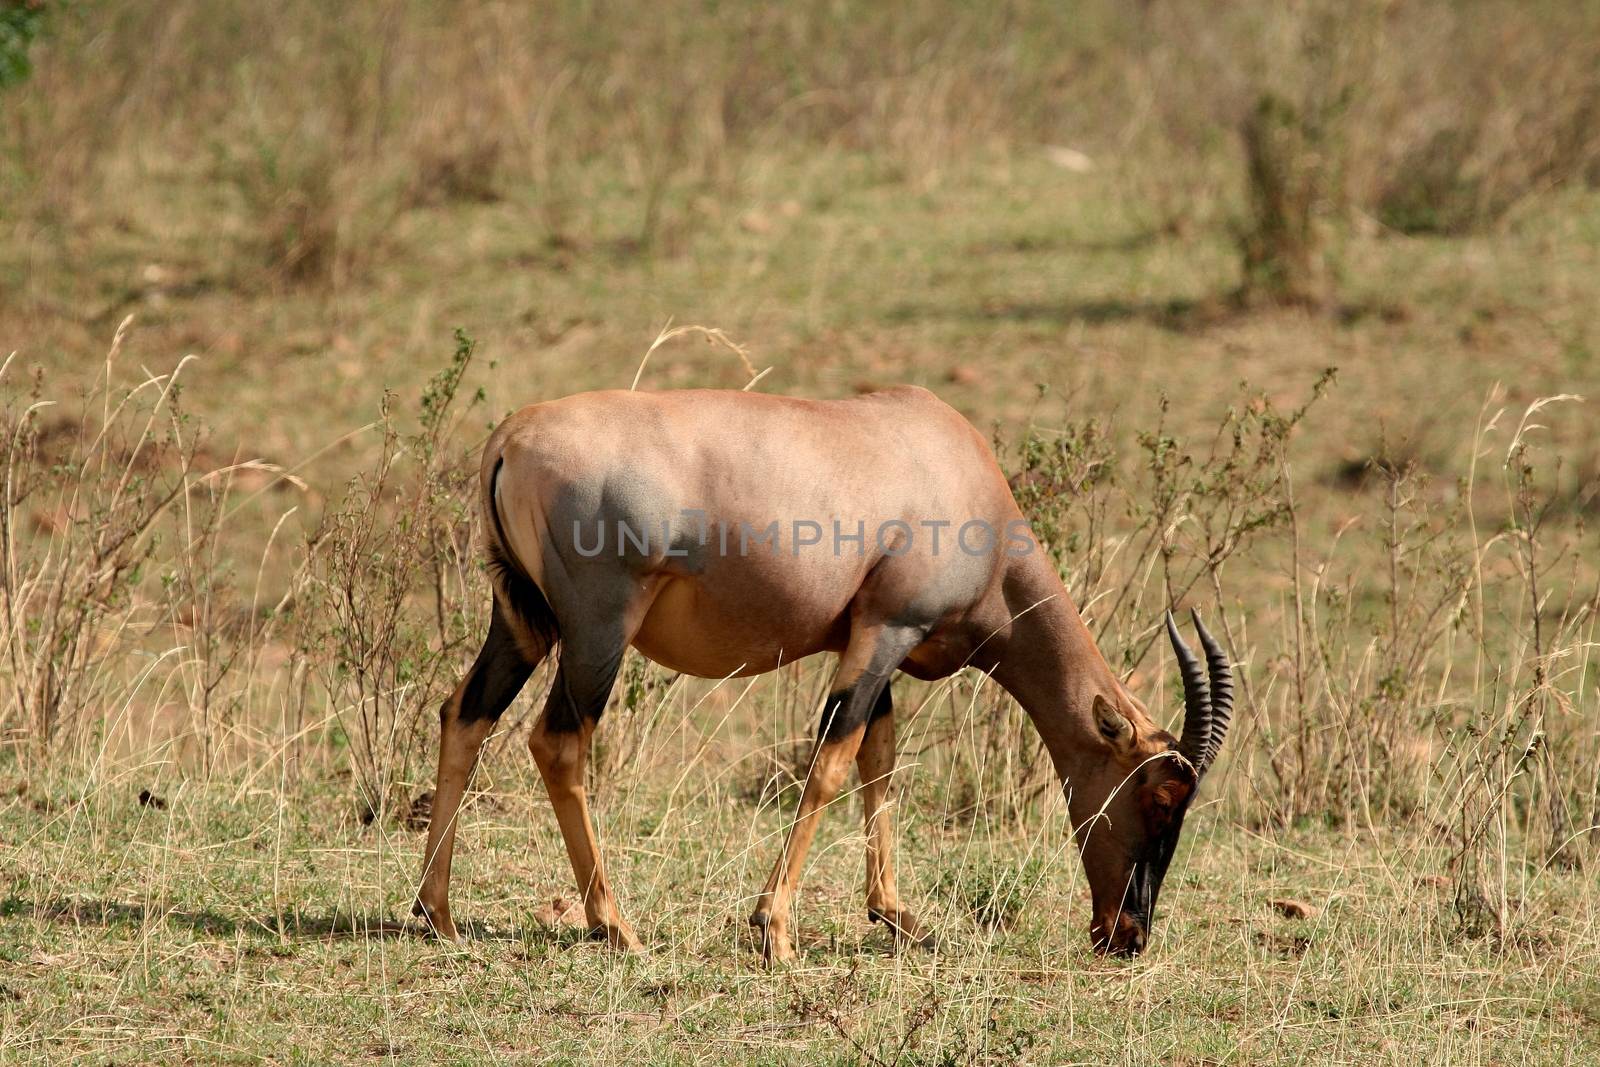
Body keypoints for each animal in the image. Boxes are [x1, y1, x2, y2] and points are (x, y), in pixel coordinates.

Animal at [416, 388, 1235, 966]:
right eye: (1161, 794)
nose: (1126, 935)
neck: (944, 462)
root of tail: (511, 438)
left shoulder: (875, 642)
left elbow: (880, 756)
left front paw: (896, 917)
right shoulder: (887, 629)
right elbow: (833, 762)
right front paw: (773, 931)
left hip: (520, 620)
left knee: (464, 712)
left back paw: (437, 915)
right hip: (597, 629)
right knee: (558, 742)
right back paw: (616, 926)